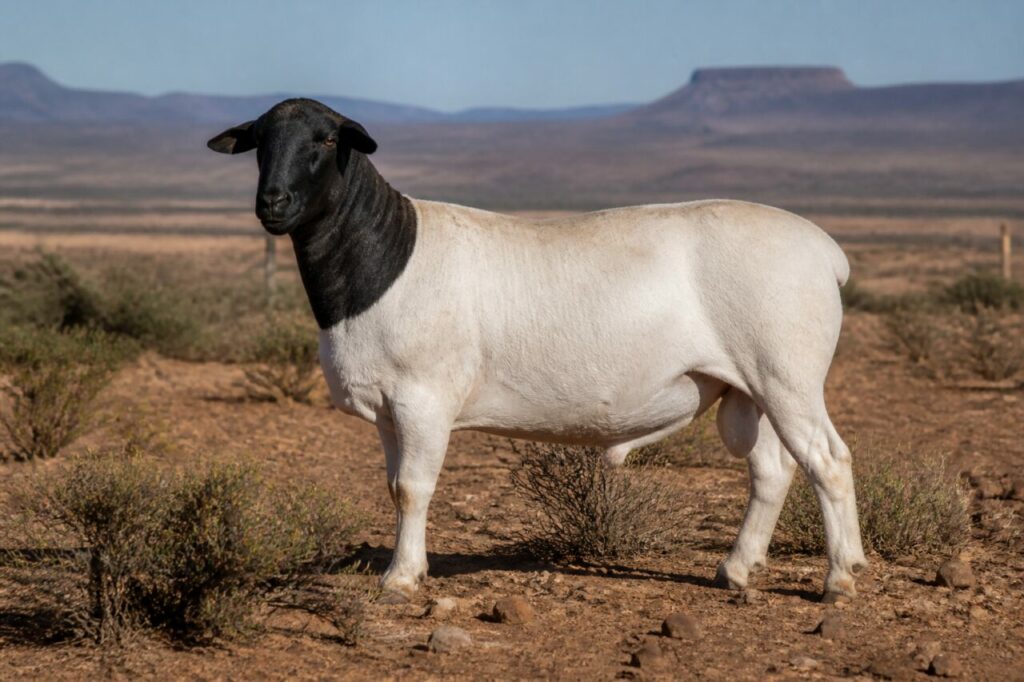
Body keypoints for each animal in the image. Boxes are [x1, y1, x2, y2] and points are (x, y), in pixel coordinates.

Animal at [208, 98, 867, 603]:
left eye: (324, 139)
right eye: (260, 142)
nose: (273, 203)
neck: (384, 255)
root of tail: (826, 252)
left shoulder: (423, 398)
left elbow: (414, 488)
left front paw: (400, 579)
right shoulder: (388, 409)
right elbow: (395, 487)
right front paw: (407, 568)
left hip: (787, 373)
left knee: (829, 462)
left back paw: (840, 578)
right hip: (748, 386)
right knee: (772, 471)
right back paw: (735, 569)